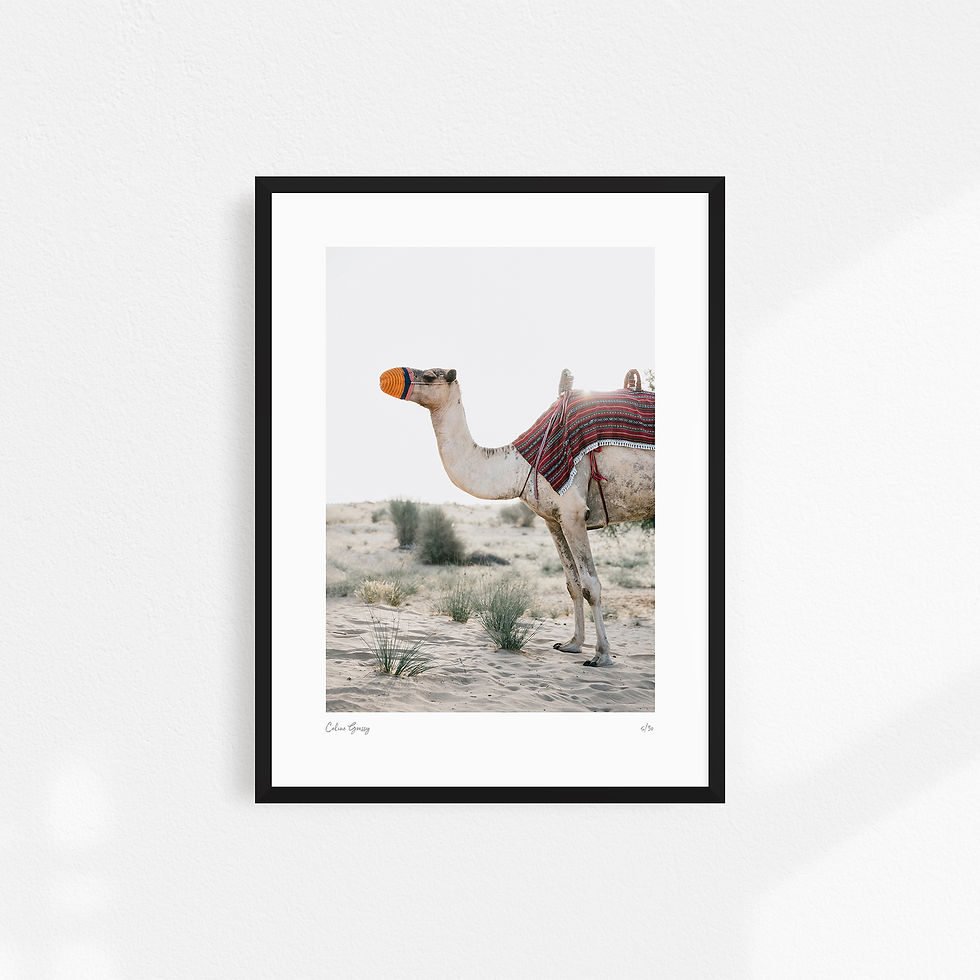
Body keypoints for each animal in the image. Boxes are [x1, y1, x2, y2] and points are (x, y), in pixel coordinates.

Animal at [379, 366, 655, 667]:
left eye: (429, 376)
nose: (387, 377)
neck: (520, 464)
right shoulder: (553, 519)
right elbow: (572, 583)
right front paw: (572, 644)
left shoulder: (573, 513)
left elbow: (590, 585)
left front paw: (601, 655)